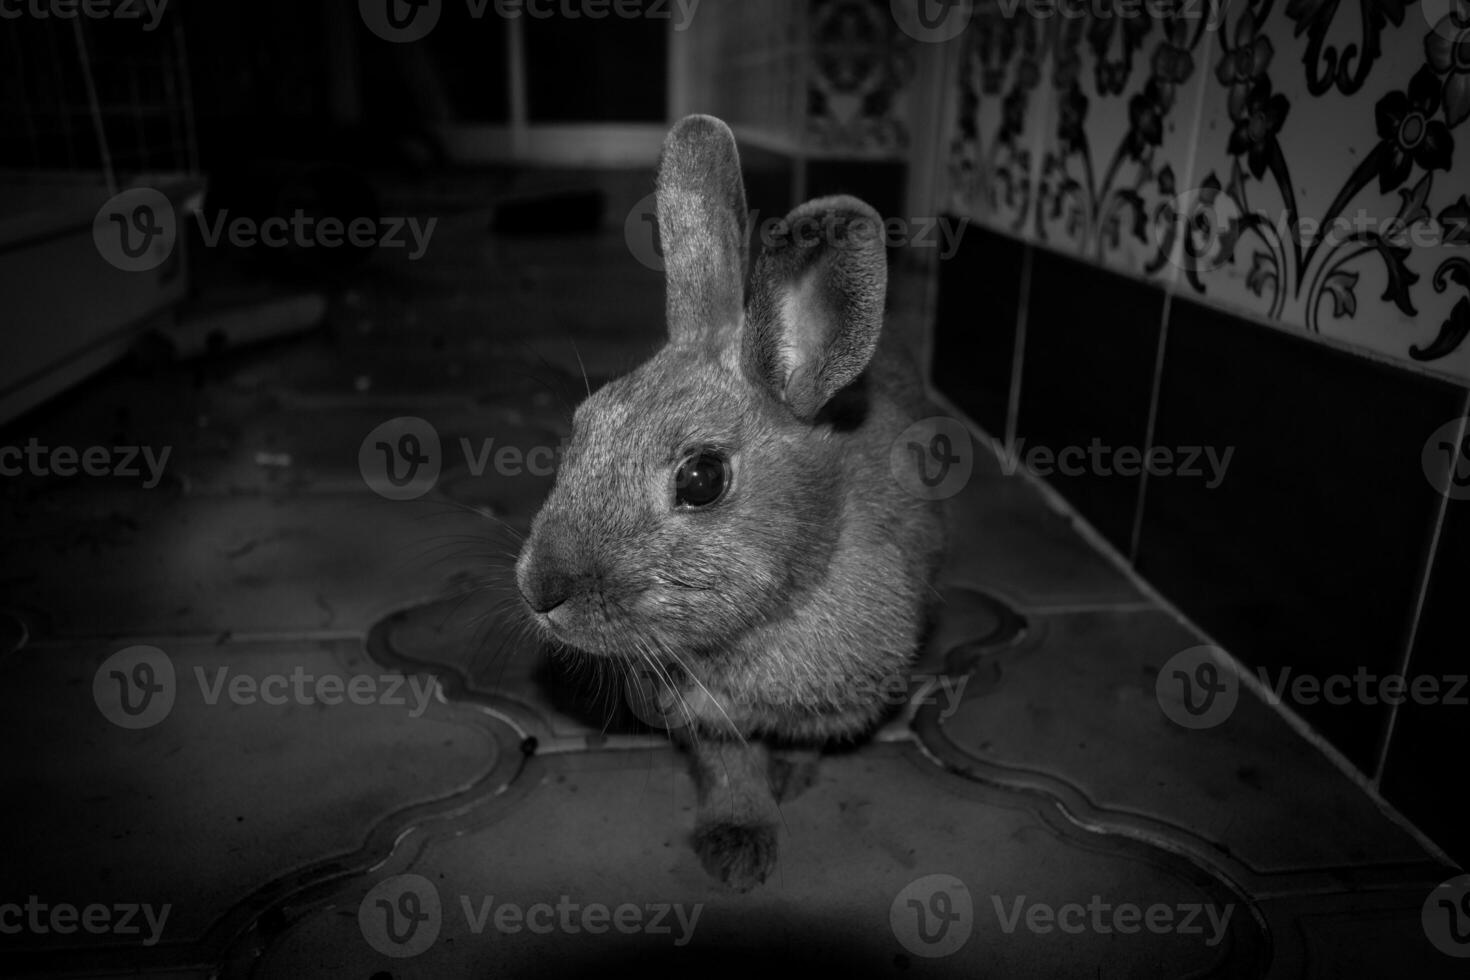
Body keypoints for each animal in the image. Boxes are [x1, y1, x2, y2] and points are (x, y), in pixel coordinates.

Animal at [517, 113, 946, 887]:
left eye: (701, 479)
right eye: (583, 425)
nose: (539, 590)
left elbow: (805, 744)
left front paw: (789, 782)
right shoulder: (706, 717)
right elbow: (729, 769)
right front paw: (739, 842)